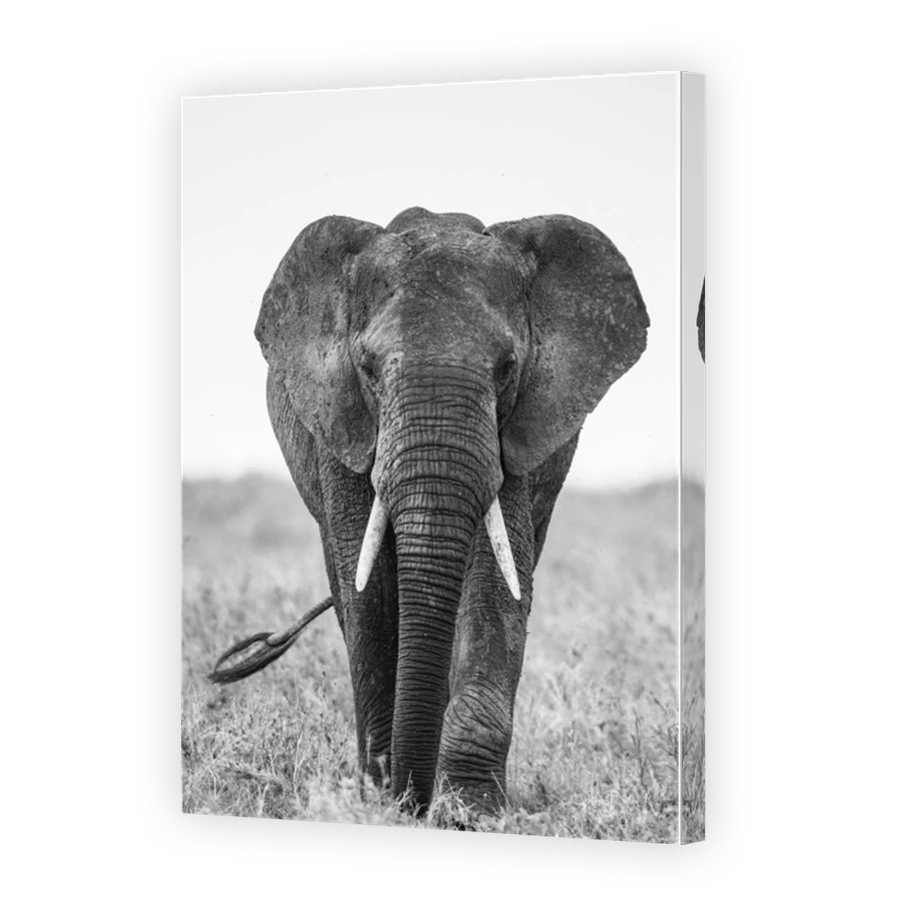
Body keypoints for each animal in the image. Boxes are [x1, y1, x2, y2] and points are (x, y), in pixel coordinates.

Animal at [214, 206, 649, 814]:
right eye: (369, 367)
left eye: (508, 367)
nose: (410, 796)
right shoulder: (343, 425)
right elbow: (368, 587)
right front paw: (385, 794)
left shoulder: (512, 434)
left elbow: (496, 581)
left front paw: (471, 809)